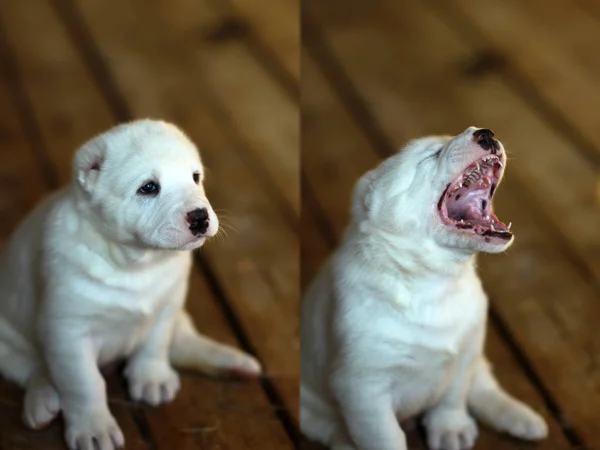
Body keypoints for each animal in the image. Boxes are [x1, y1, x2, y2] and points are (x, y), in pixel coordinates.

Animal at [0, 119, 260, 450]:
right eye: (148, 188)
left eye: (195, 177)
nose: (200, 218)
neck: (136, 264)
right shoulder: (67, 332)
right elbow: (84, 383)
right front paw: (93, 427)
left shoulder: (168, 305)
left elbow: (155, 343)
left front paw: (151, 377)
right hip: (7, 341)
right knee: (32, 369)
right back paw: (41, 401)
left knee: (183, 342)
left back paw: (233, 362)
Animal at [300, 126, 548, 450]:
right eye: (430, 155)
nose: (486, 133)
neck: (435, 281)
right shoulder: (362, 387)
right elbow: (386, 437)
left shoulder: (465, 351)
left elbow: (453, 396)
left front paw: (450, 429)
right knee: (328, 427)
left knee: (483, 384)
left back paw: (522, 418)